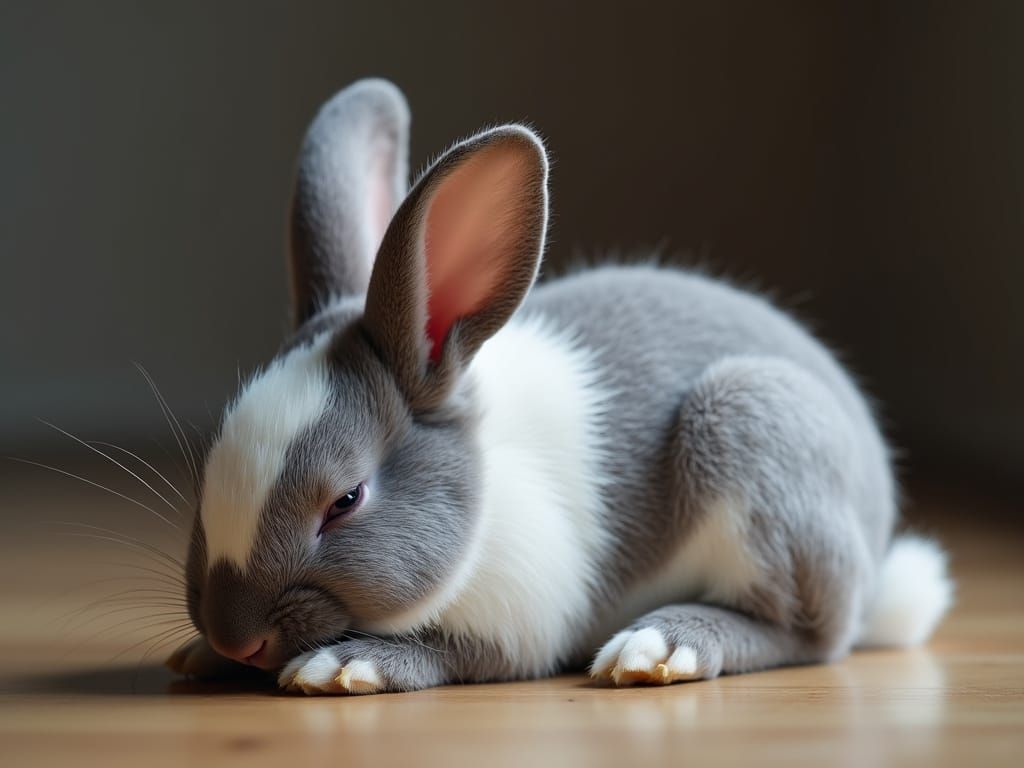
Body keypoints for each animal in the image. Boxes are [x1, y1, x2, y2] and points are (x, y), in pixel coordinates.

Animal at [166, 78, 953, 694]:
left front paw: (345, 666)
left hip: (753, 428)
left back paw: (659, 647)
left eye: (346, 500)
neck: (481, 494)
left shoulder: (521, 618)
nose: (235, 638)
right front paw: (198, 655)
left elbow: (447, 651)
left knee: (806, 635)